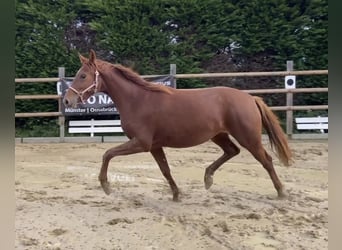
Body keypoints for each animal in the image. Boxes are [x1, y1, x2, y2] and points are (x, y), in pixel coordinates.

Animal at [63, 50, 292, 201]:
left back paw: (281, 192)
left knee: (266, 160)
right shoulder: (154, 146)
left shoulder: (142, 143)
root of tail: (250, 98)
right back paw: (208, 178)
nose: (67, 101)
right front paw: (176, 194)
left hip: (248, 137)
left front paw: (106, 186)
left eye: (83, 75)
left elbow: (107, 154)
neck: (138, 100)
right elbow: (165, 170)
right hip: (219, 135)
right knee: (232, 151)